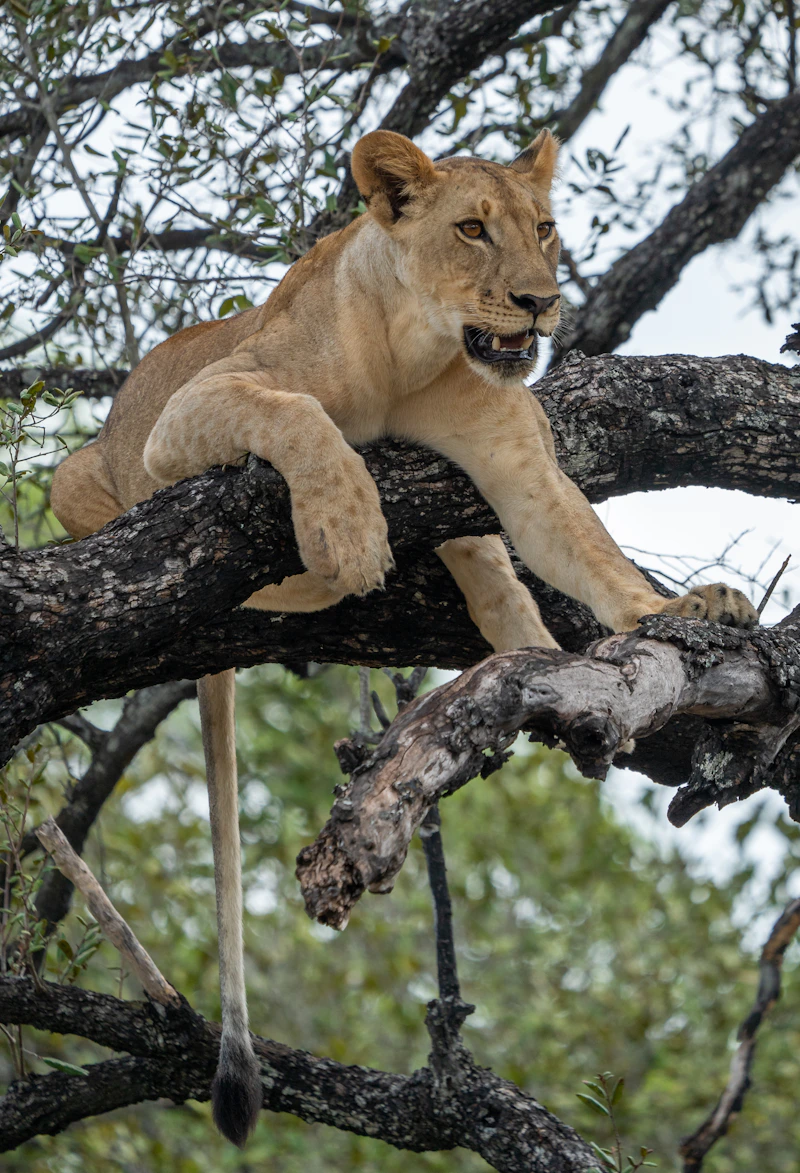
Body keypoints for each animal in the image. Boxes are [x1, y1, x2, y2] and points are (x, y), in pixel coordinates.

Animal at [50, 128, 758, 1146]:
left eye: (544, 228)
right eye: (472, 229)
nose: (541, 301)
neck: (410, 352)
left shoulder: (519, 465)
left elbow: (588, 549)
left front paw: (689, 607)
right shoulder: (197, 408)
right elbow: (298, 414)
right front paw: (347, 526)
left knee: (491, 565)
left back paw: (523, 629)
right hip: (81, 473)